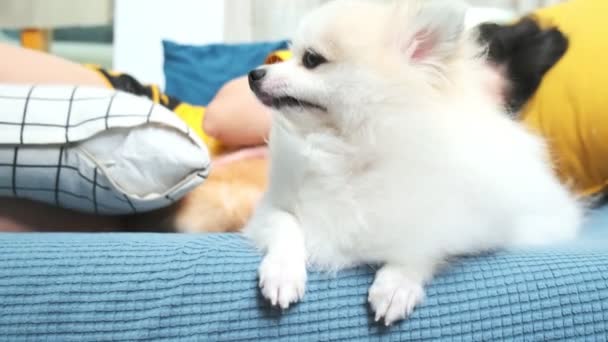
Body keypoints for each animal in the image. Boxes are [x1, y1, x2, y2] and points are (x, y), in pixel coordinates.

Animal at [241, 0, 580, 326]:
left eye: (311, 59)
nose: (254, 74)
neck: (346, 150)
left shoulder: (459, 223)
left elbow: (423, 247)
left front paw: (397, 285)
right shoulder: (272, 206)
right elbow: (286, 225)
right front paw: (282, 272)